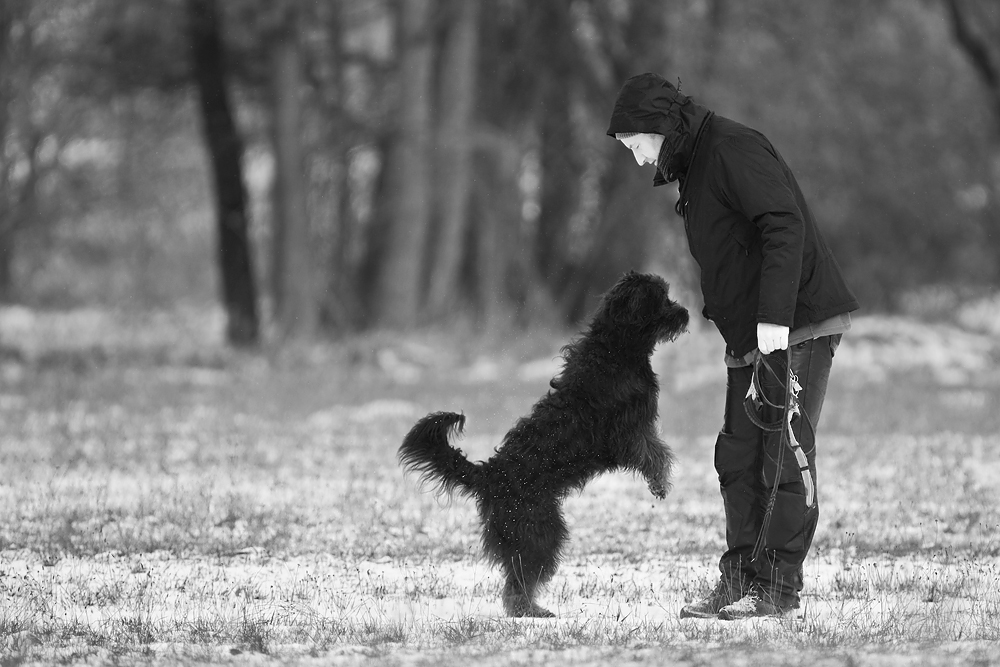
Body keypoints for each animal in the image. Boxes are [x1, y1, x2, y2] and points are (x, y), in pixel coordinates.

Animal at [398, 274, 688, 620]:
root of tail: (489, 475)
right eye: (661, 298)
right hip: (539, 530)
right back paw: (530, 610)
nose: (686, 313)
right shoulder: (627, 432)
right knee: (520, 579)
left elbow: (657, 450)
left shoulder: (635, 430)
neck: (615, 349)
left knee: (515, 575)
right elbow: (656, 453)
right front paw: (660, 483)